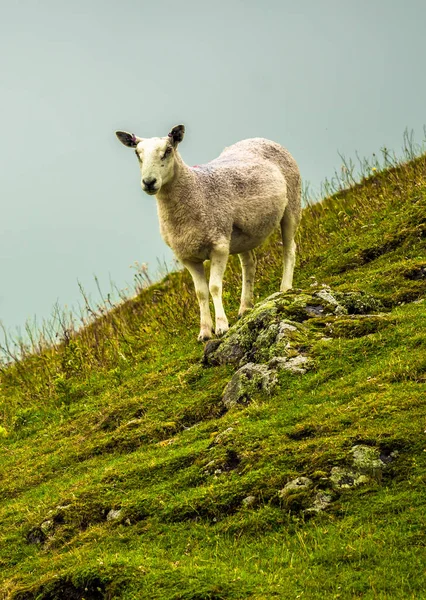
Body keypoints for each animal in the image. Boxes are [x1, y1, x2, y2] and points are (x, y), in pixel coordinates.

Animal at [115, 124, 302, 340]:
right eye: (137, 153)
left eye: (168, 150)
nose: (149, 182)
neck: (195, 190)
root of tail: (260, 138)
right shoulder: (187, 256)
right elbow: (200, 293)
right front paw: (205, 331)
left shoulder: (218, 245)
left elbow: (214, 287)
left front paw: (221, 326)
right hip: (242, 235)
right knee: (249, 264)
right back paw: (245, 307)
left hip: (292, 203)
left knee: (289, 249)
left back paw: (285, 288)